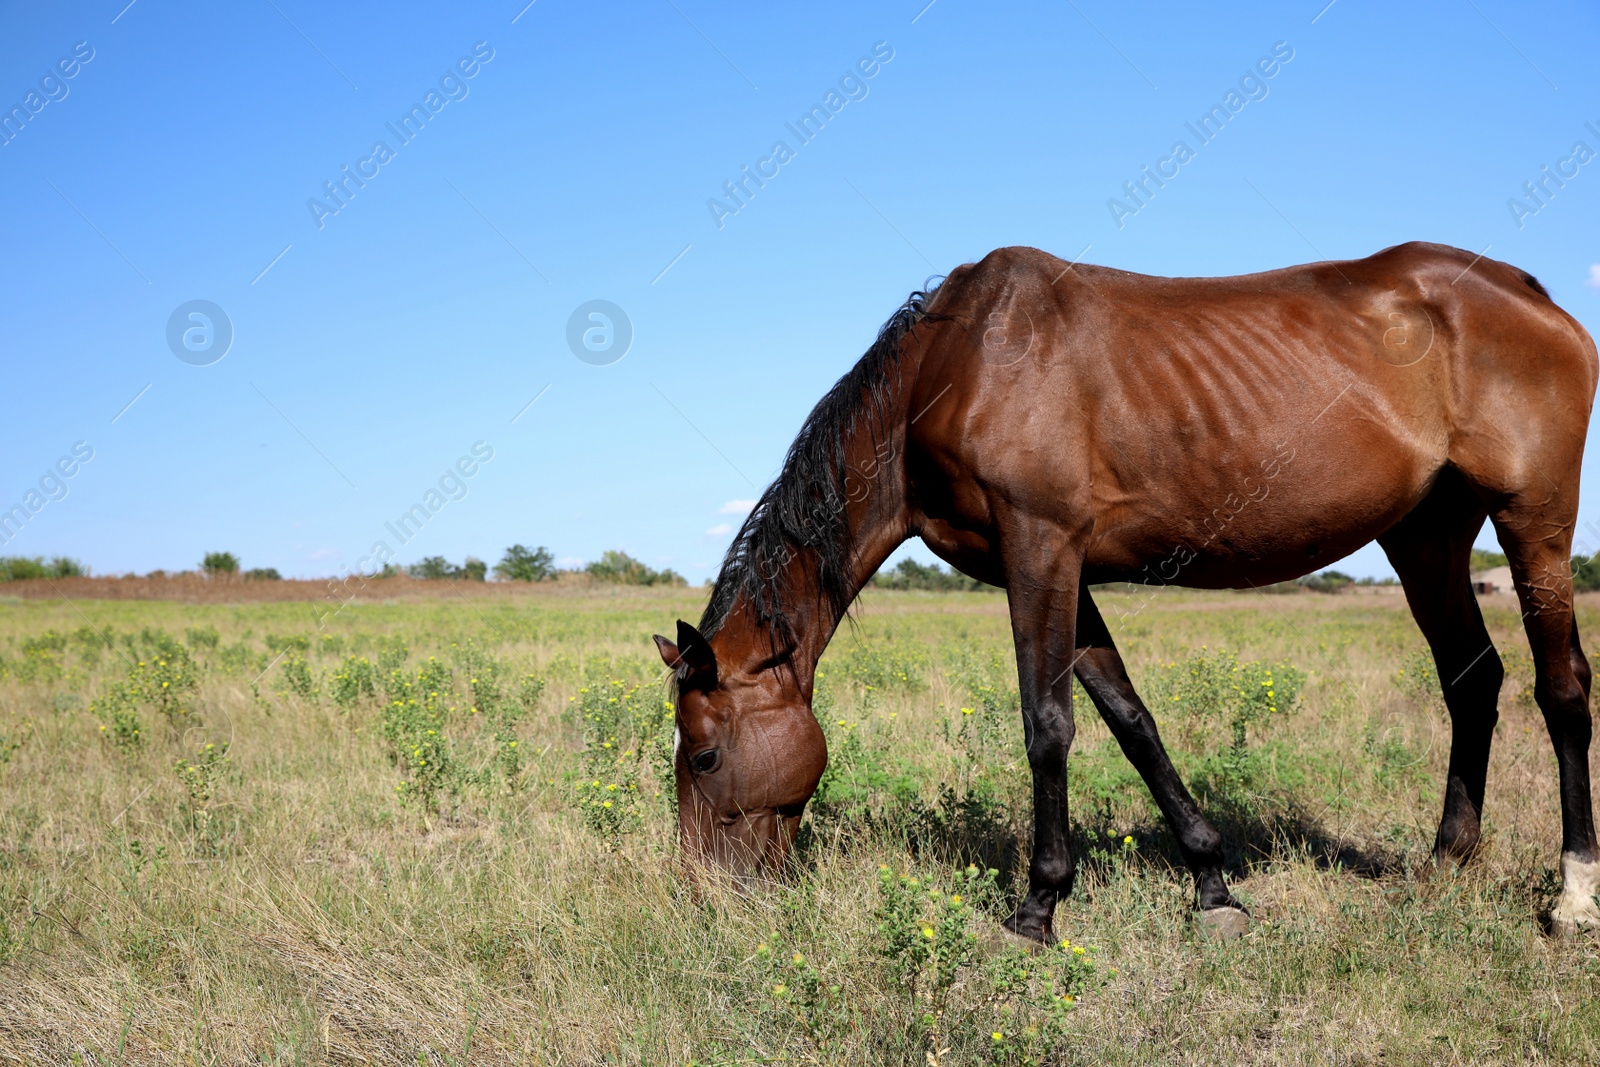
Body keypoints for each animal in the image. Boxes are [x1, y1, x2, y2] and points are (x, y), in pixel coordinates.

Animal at [653, 241, 1600, 943]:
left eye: (703, 756)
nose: (702, 898)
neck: (951, 368)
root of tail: (1530, 293)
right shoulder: (1060, 569)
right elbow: (1131, 719)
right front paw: (1214, 884)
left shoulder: (1040, 548)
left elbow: (1048, 727)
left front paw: (1037, 908)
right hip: (1425, 537)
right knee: (1473, 681)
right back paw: (1445, 864)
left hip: (1534, 520)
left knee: (1563, 691)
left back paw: (1572, 895)